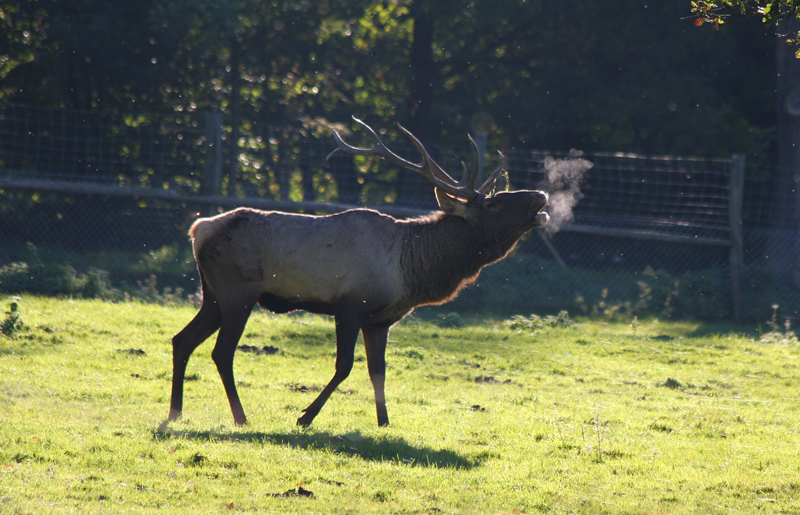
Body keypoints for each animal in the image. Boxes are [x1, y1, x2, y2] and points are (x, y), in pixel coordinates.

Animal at [166, 119, 548, 430]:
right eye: (494, 204)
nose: (540, 195)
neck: (410, 269)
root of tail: (199, 229)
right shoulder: (349, 305)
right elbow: (345, 366)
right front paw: (305, 417)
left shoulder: (380, 320)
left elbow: (378, 371)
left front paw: (384, 422)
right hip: (237, 293)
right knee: (221, 352)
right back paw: (240, 417)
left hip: (213, 295)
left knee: (182, 339)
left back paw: (175, 412)